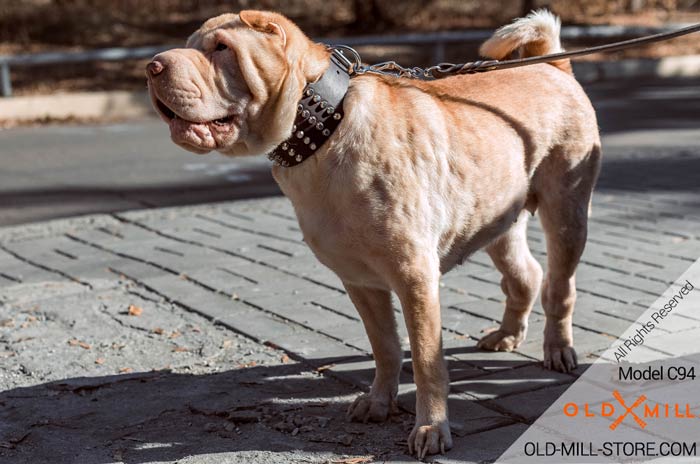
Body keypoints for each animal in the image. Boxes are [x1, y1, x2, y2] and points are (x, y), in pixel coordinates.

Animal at [148, 10, 600, 456]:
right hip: (497, 222)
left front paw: (431, 427)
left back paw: (558, 349)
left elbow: (426, 358)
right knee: (525, 276)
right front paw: (379, 401)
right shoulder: (359, 280)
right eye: (190, 46)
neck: (322, 128)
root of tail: (551, 65)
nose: (153, 66)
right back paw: (507, 334)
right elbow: (384, 345)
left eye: (222, 48)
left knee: (559, 286)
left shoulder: (415, 277)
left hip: (567, 213)